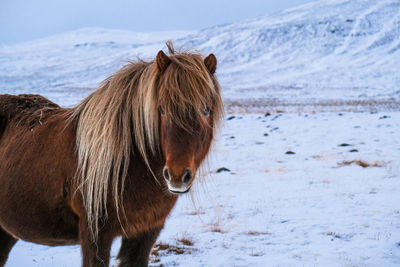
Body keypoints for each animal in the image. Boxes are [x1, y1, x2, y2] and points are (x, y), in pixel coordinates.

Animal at [0, 43, 223, 266]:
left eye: (205, 110)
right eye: (161, 110)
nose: (177, 176)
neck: (129, 164)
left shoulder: (145, 233)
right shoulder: (95, 236)